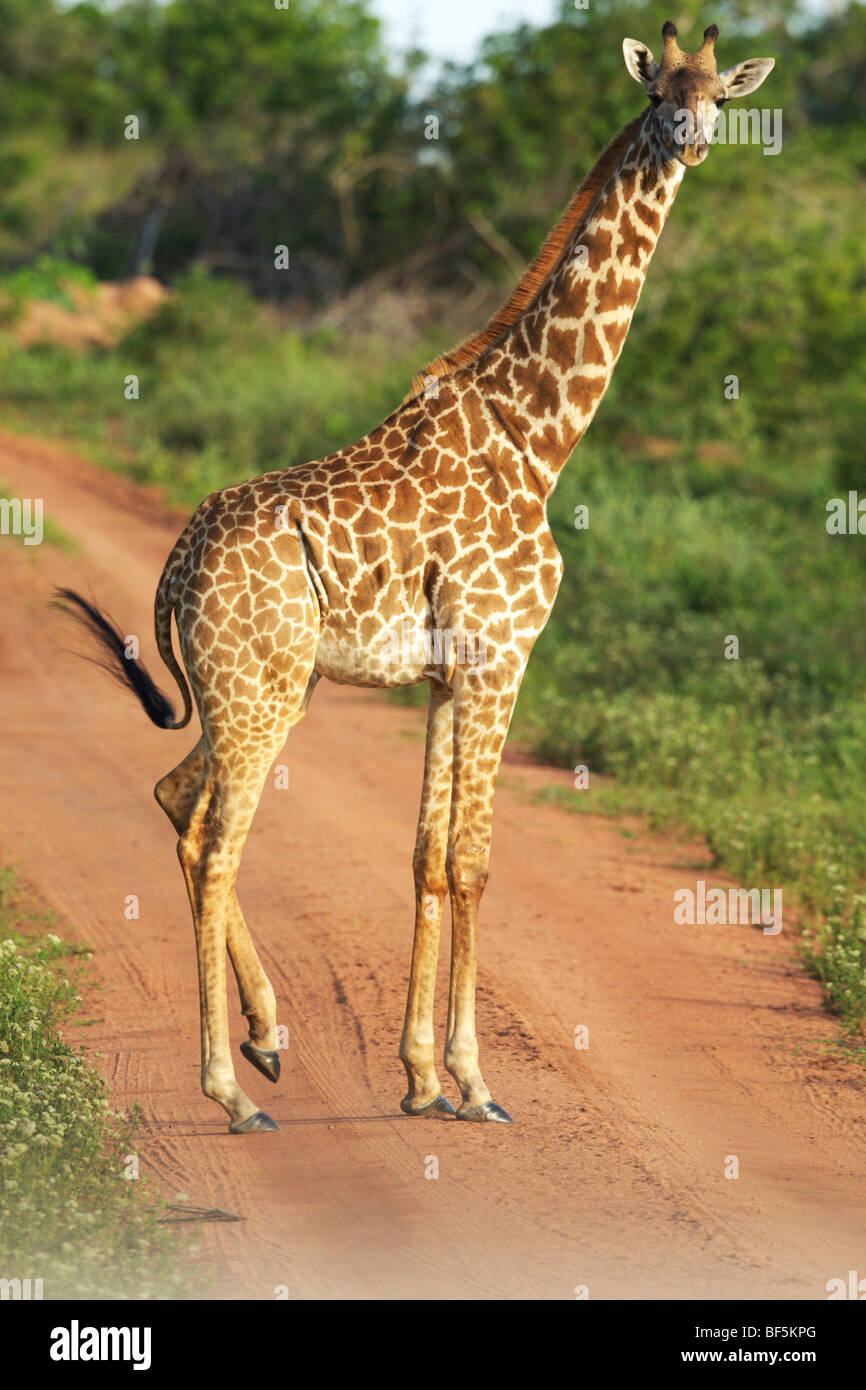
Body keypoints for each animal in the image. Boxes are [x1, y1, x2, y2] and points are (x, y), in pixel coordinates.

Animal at [57, 19, 778, 1128]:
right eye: (659, 93)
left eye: (717, 95)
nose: (692, 141)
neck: (540, 436)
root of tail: (173, 572)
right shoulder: (499, 659)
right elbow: (474, 862)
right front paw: (475, 1086)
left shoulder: (446, 675)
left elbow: (426, 859)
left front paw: (421, 1079)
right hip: (260, 693)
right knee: (218, 842)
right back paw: (231, 1086)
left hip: (259, 688)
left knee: (178, 801)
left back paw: (269, 1040)